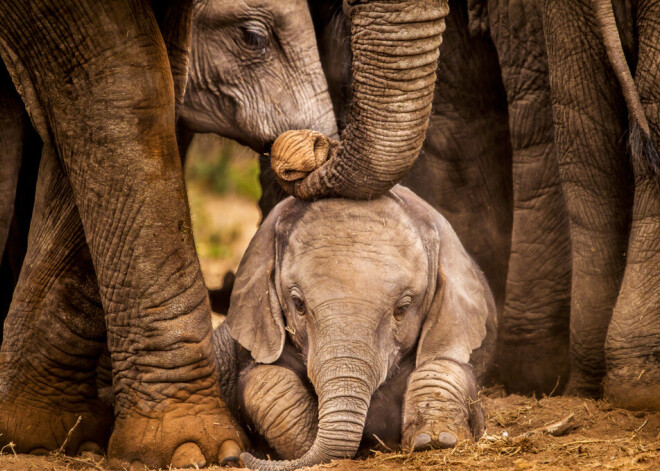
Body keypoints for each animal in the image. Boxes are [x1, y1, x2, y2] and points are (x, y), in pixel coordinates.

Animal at [211, 186, 496, 470]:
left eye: (402, 309)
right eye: (298, 304)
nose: (240, 458)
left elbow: (443, 365)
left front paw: (435, 440)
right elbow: (265, 379)